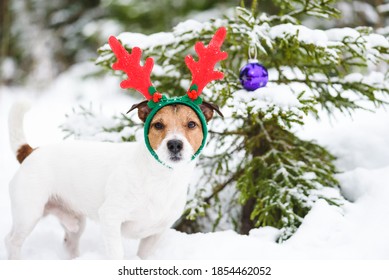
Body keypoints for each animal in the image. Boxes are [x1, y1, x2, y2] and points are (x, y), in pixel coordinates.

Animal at [4, 99, 217, 260]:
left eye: (191, 124)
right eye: (158, 125)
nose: (174, 144)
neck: (161, 177)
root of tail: (31, 151)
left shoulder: (156, 233)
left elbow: (143, 255)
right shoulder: (110, 217)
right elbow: (116, 254)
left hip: (74, 221)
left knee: (69, 242)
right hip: (28, 213)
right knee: (12, 241)